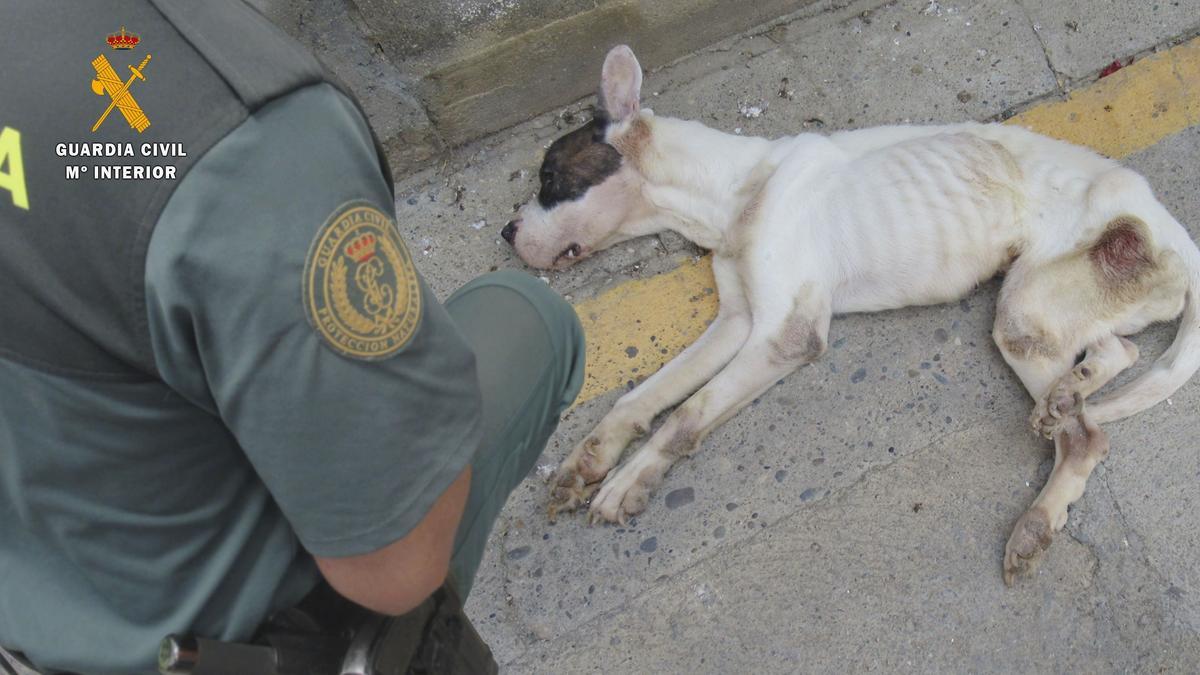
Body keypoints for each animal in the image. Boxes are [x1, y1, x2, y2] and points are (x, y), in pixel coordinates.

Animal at [499, 44, 1200, 581]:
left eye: (549, 177)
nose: (506, 232)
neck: (735, 189)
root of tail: (1171, 230)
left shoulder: (784, 336)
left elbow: (684, 415)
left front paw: (626, 481)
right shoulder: (736, 322)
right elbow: (645, 396)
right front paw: (587, 461)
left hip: (1026, 312)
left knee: (1088, 435)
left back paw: (1039, 511)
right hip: (1053, 305)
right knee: (1116, 352)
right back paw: (1070, 392)